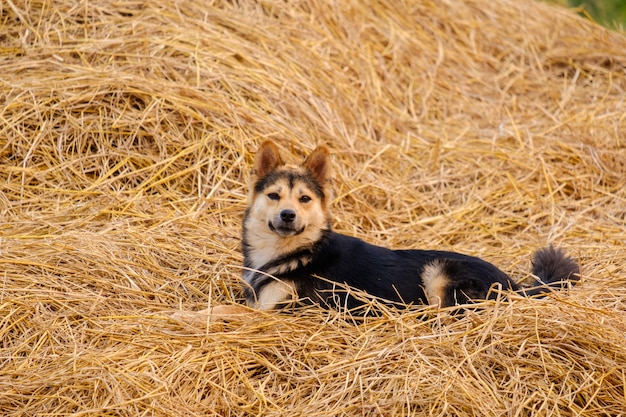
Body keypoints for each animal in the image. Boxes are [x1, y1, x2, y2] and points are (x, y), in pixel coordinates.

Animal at [238, 141, 576, 312]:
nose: (288, 215)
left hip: (439, 273)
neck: (297, 250)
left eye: (304, 199)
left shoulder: (273, 313)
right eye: (274, 196)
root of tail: (514, 285)